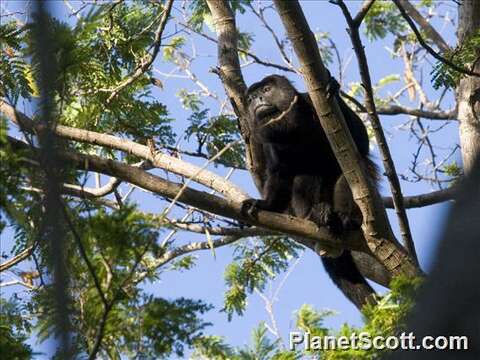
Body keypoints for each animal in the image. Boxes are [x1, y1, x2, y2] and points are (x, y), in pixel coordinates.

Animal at [244, 74, 378, 310]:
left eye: (267, 89)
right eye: (250, 99)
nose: (257, 99)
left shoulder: (307, 102)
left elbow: (360, 142)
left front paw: (332, 88)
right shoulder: (267, 141)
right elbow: (279, 174)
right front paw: (265, 204)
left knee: (353, 172)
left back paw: (347, 218)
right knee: (306, 177)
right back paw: (317, 215)